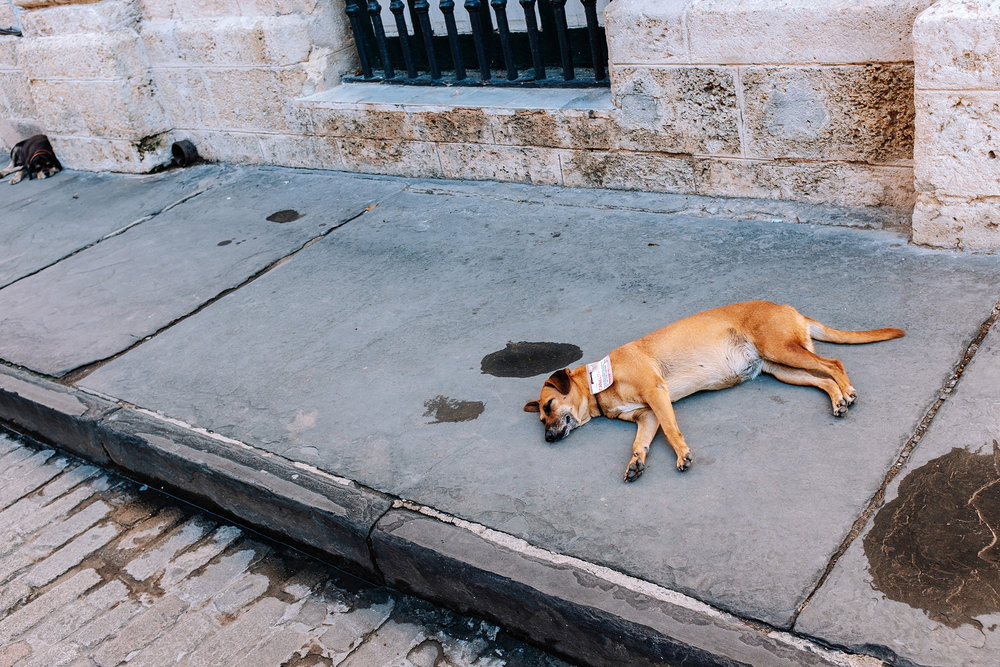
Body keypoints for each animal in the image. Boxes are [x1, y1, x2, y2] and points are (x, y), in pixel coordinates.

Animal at [524, 300, 908, 482]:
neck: (598, 384)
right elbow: (640, 442)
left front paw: (682, 454)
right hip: (781, 368)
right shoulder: (646, 417)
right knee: (823, 378)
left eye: (550, 405)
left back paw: (848, 391)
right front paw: (636, 462)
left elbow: (672, 429)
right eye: (541, 417)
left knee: (834, 364)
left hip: (782, 350)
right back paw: (838, 399)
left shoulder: (656, 395)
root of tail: (789, 308)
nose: (547, 439)